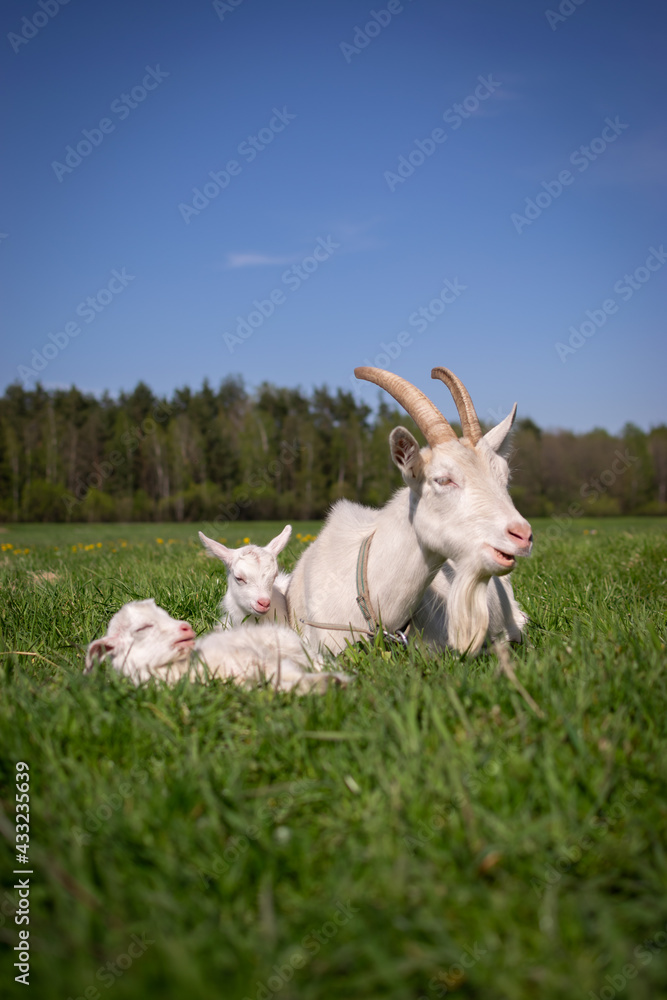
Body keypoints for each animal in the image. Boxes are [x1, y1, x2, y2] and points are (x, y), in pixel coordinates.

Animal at [85, 598, 350, 692]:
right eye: (141, 629)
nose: (186, 627)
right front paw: (328, 684)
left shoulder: (256, 660)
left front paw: (337, 681)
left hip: (293, 646)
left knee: (317, 660)